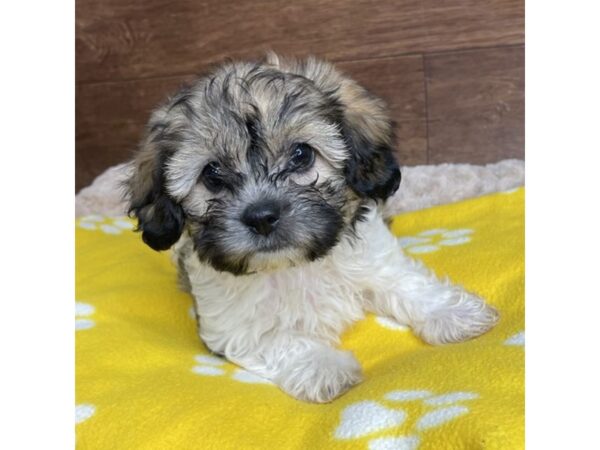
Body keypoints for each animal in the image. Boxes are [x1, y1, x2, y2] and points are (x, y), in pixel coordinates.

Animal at [125, 54, 496, 402]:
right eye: (212, 174)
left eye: (301, 154)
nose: (261, 215)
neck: (297, 265)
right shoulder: (231, 325)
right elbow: (276, 339)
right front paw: (322, 367)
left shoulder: (376, 258)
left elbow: (406, 283)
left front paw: (454, 313)